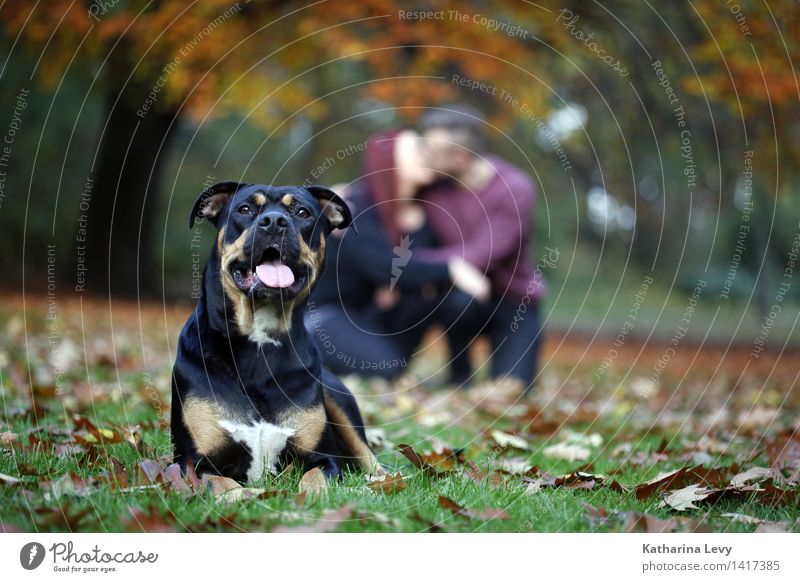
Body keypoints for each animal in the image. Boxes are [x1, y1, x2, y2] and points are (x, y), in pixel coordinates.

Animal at [170, 181, 382, 484]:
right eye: (244, 209)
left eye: (303, 212)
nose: (273, 222)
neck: (260, 341)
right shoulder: (195, 463)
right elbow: (226, 486)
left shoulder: (324, 460)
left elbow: (313, 481)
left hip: (337, 398)